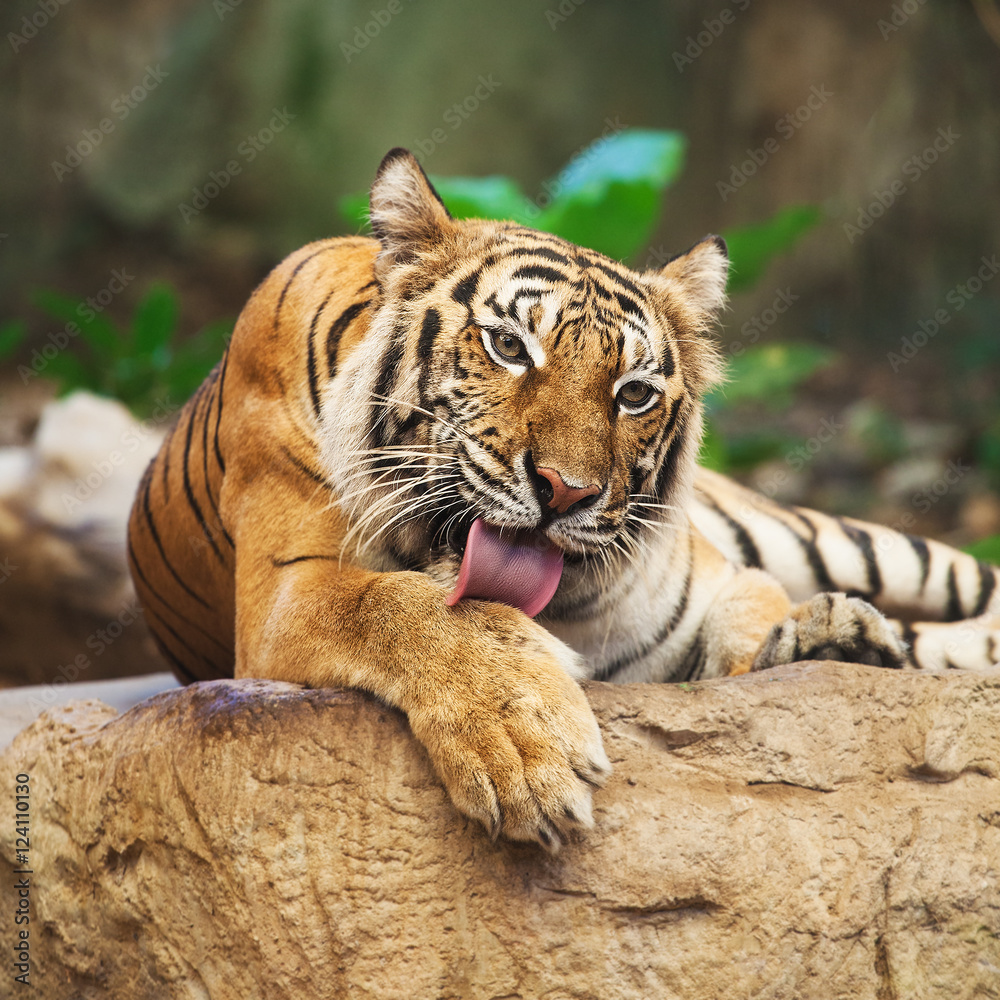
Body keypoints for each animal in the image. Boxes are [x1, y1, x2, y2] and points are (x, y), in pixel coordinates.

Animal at [128, 147, 1000, 850]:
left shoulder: (720, 580)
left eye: (634, 393)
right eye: (509, 346)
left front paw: (823, 642)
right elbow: (400, 606)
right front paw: (525, 743)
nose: (565, 491)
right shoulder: (285, 592)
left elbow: (750, 631)